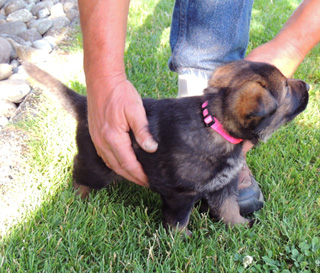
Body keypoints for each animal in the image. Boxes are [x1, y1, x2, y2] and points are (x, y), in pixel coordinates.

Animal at [24, 60, 310, 233]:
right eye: (286, 88)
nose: (307, 84)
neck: (215, 125)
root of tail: (86, 106)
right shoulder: (180, 194)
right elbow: (179, 220)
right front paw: (180, 240)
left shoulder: (224, 184)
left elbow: (228, 208)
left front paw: (239, 225)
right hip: (97, 163)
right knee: (79, 171)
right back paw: (79, 195)